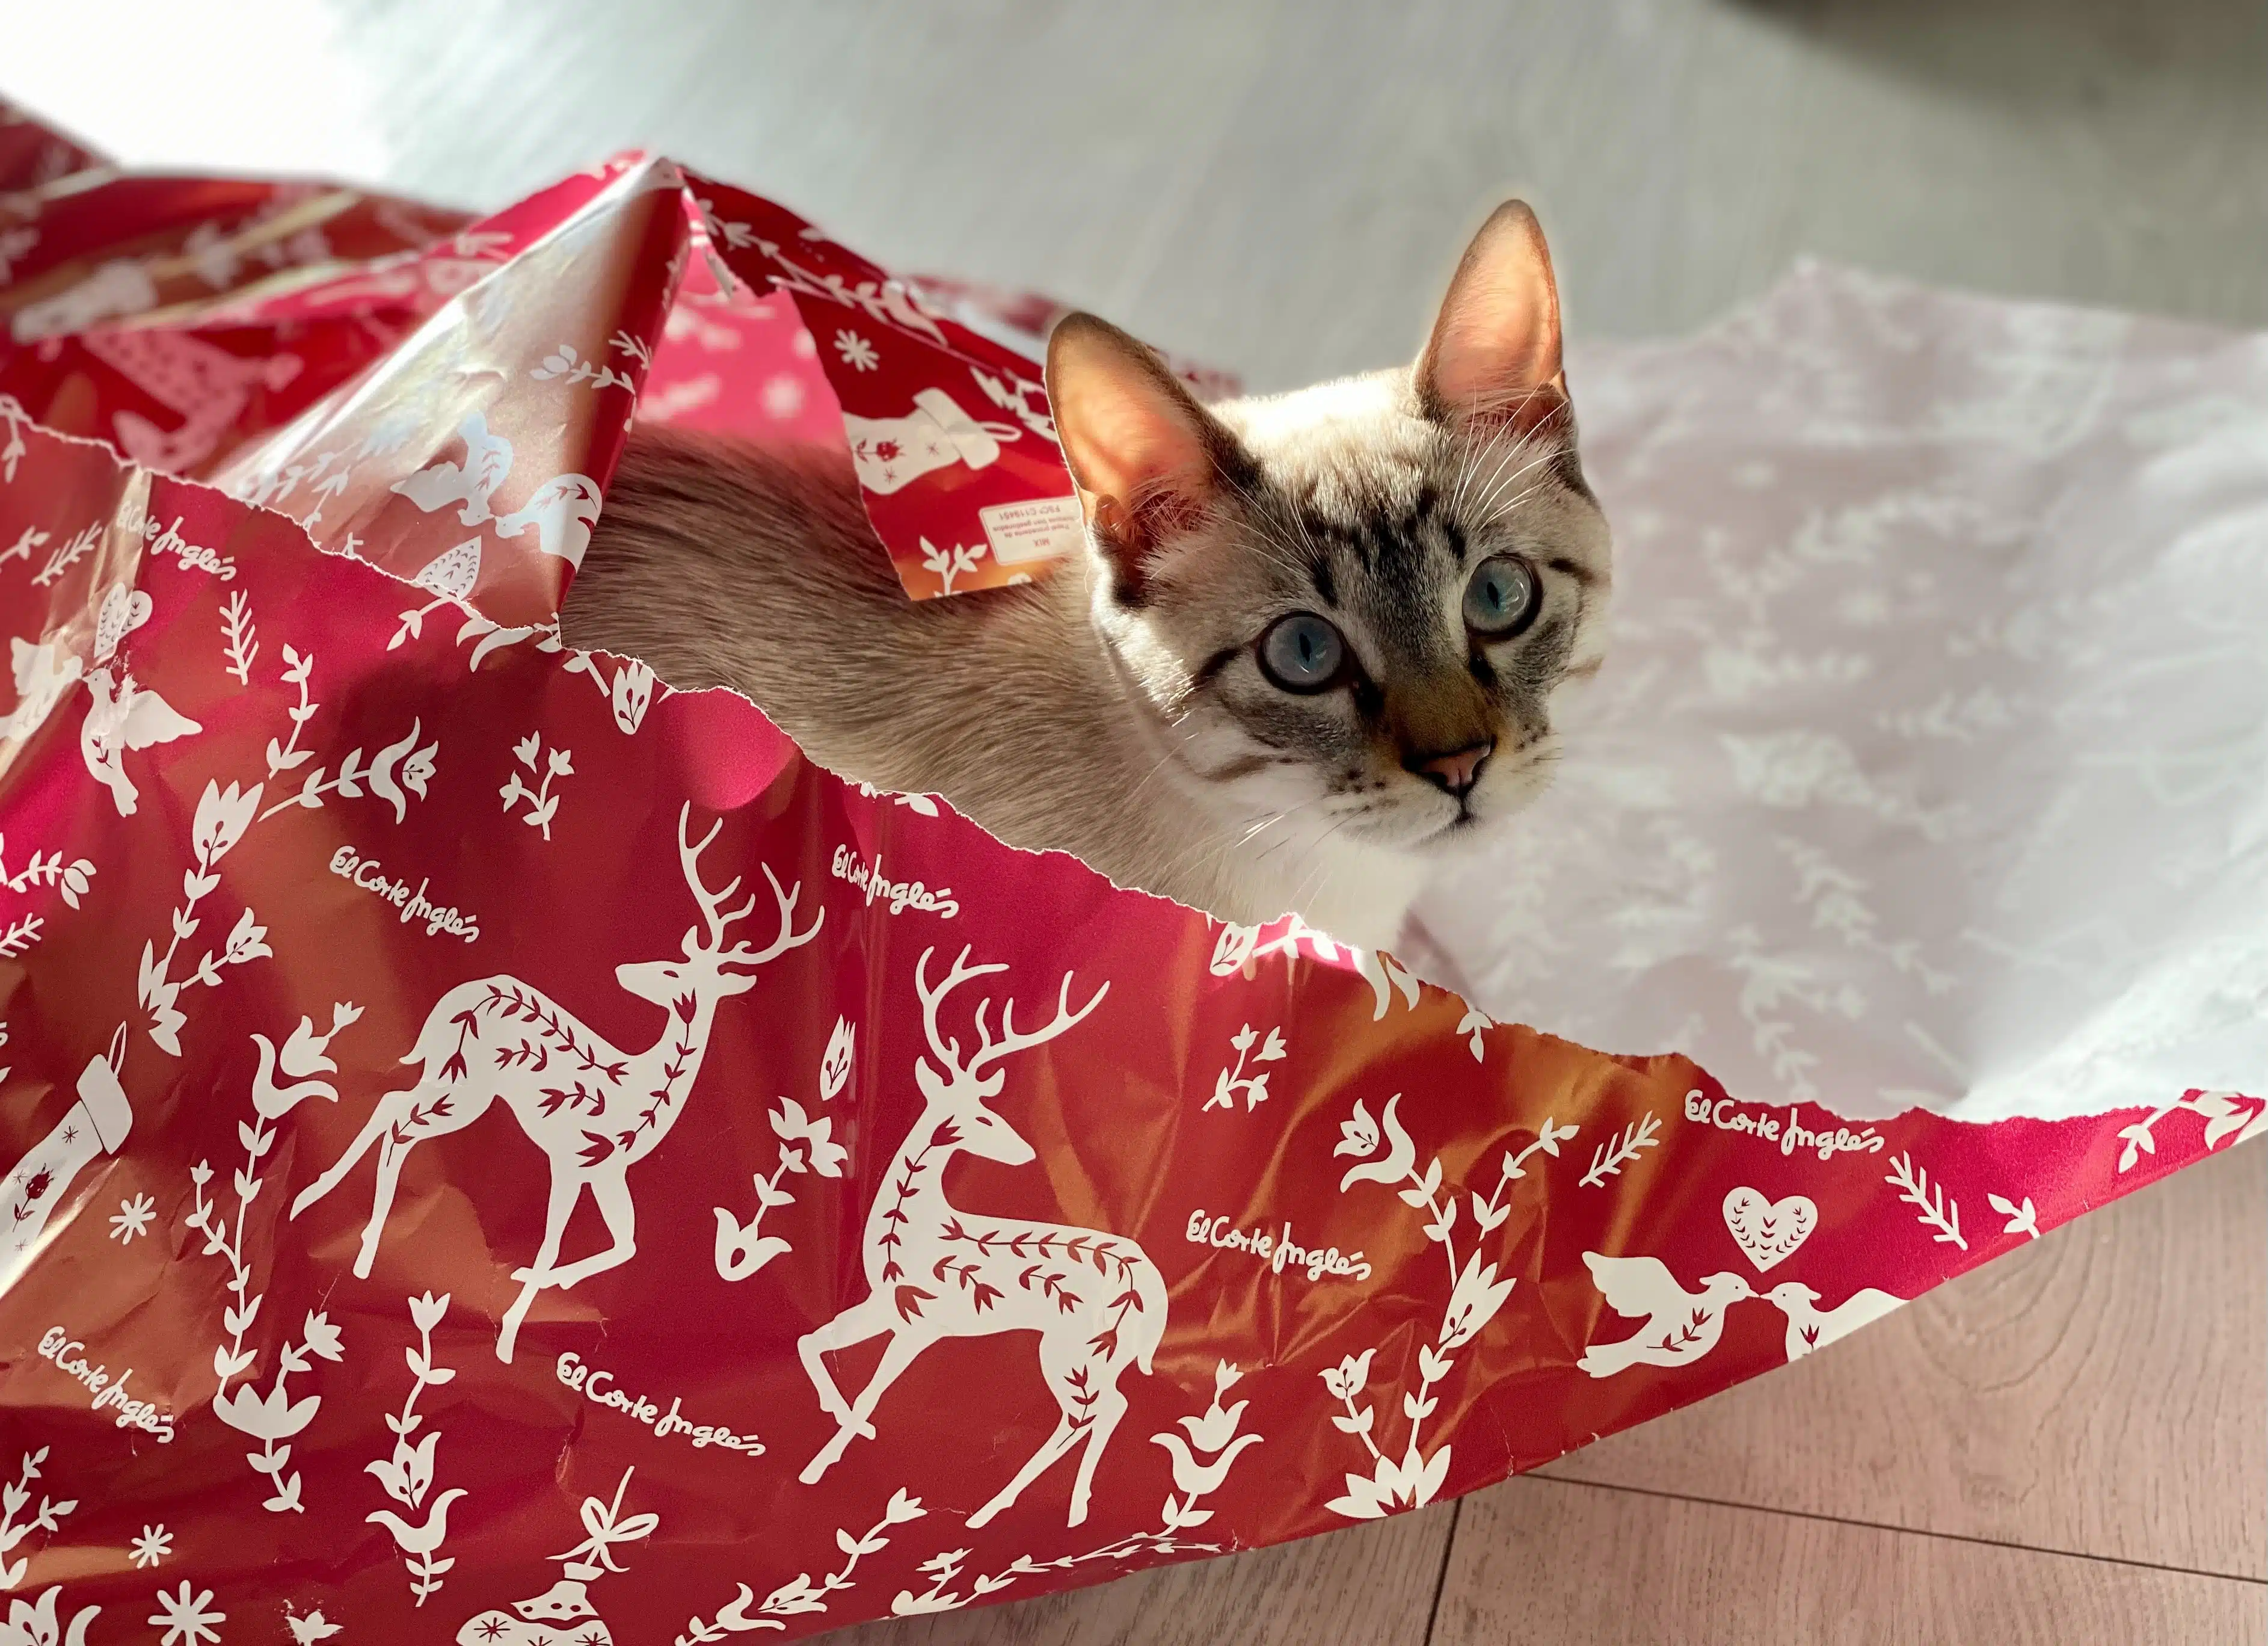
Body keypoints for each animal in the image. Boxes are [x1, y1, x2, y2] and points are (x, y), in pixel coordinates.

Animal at [287, 807, 825, 1369]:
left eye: (670, 970)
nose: (625, 970)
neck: (640, 1089)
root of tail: (452, 999)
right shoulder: (568, 1159)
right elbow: (552, 1242)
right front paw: (508, 1337)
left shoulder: (606, 1170)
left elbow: (624, 1244)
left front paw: (548, 1287)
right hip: (466, 1085)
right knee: (398, 1121)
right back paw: (357, 1240)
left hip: (448, 1076)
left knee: (391, 1104)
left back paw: (321, 1205)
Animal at [798, 948, 1161, 1541]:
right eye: (982, 1116)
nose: (1025, 1154)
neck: (917, 1228)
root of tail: (1155, 1293)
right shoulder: (887, 1305)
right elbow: (813, 1343)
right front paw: (843, 1426)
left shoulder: (923, 1322)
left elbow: (874, 1389)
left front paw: (826, 1457)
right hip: (1094, 1354)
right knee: (1113, 1407)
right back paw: (1069, 1509)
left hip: (1075, 1347)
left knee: (1089, 1413)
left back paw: (993, 1511)